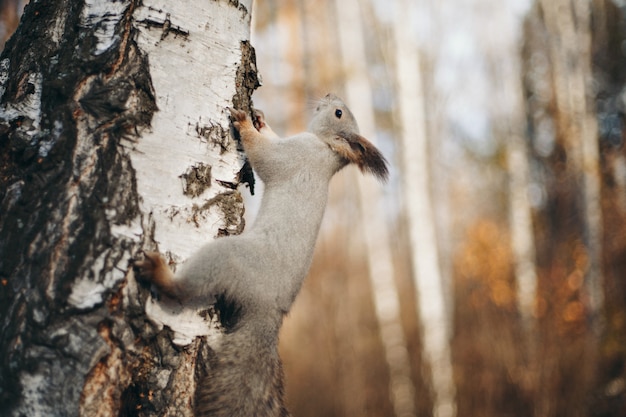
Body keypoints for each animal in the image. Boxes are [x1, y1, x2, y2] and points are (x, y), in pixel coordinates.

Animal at [136, 94, 388, 416]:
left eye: (338, 113)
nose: (329, 96)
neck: (326, 150)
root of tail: (268, 310)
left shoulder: (294, 156)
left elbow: (265, 156)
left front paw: (244, 123)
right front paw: (259, 120)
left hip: (227, 258)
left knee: (186, 286)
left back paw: (159, 272)